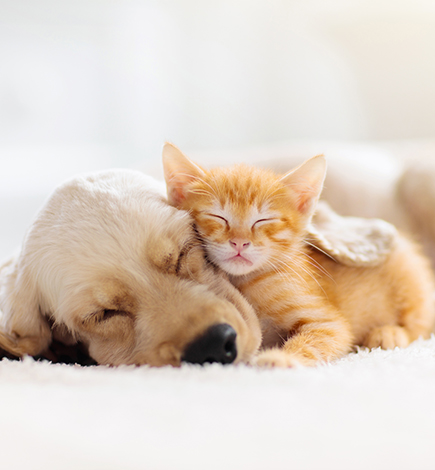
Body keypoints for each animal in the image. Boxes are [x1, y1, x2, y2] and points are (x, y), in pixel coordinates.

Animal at [163, 143, 435, 368]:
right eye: (218, 216)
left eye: (263, 220)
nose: (239, 242)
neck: (246, 282)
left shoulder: (327, 322)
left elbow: (319, 338)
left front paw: (281, 358)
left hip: (410, 281)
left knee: (421, 323)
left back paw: (389, 333)